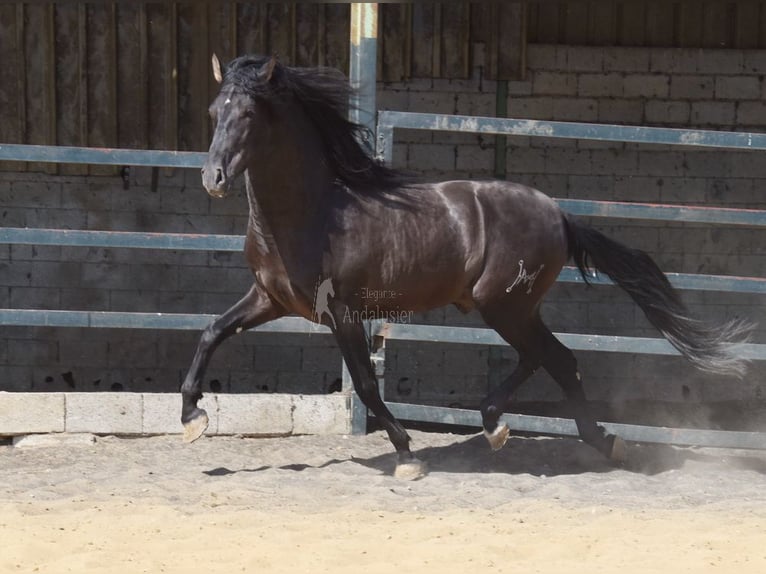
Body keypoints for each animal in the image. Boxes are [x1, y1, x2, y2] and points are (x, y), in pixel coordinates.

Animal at [182, 54, 756, 480]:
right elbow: (211, 332)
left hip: (503, 304)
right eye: (212, 111)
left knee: (551, 357)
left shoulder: (342, 313)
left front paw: (407, 456)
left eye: (248, 115)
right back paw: (540, 432)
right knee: (554, 358)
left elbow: (366, 384)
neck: (315, 213)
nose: (213, 178)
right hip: (513, 307)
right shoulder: (270, 300)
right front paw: (192, 418)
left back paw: (570, 437)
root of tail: (558, 213)